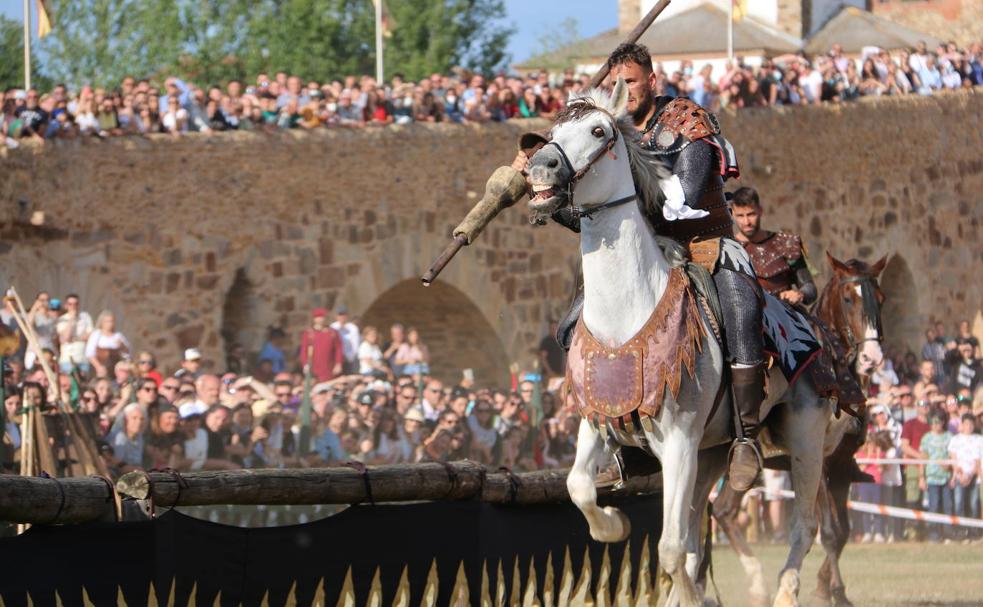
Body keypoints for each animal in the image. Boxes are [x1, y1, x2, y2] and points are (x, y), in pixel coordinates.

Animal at [532, 81, 844, 607]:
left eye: (597, 131)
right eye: (554, 130)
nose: (539, 165)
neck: (627, 311)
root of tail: (812, 331)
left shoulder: (679, 442)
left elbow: (673, 549)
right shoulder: (597, 425)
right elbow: (579, 488)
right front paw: (612, 525)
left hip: (805, 435)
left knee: (803, 527)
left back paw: (783, 590)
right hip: (712, 451)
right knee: (704, 527)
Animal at [712, 254, 888, 607]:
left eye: (881, 299)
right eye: (848, 299)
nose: (872, 358)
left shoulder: (840, 466)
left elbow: (842, 531)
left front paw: (826, 587)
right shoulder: (817, 462)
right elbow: (830, 530)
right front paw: (833, 592)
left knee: (719, 511)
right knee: (722, 511)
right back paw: (756, 586)